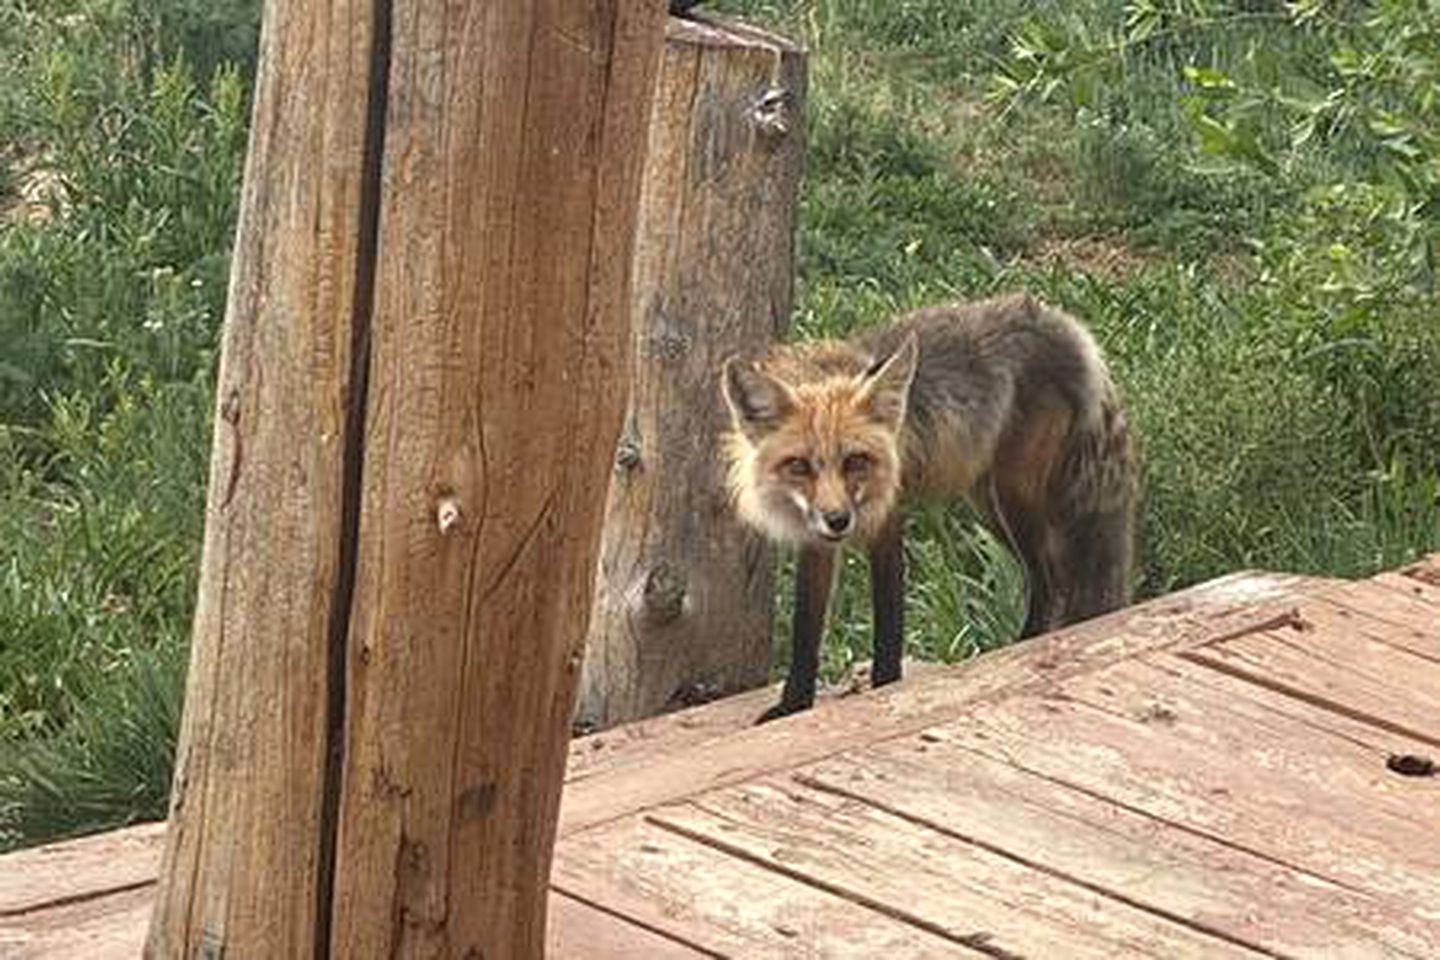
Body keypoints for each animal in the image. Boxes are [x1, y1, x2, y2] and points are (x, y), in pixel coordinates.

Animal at [722, 293, 1138, 721]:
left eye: (856, 461)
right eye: (799, 466)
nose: (838, 520)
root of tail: (1064, 324)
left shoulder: (887, 520)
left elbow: (888, 623)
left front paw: (884, 689)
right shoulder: (816, 542)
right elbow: (806, 632)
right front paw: (794, 706)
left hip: (1015, 499)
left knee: (1052, 583)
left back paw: (1021, 646)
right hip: (989, 502)